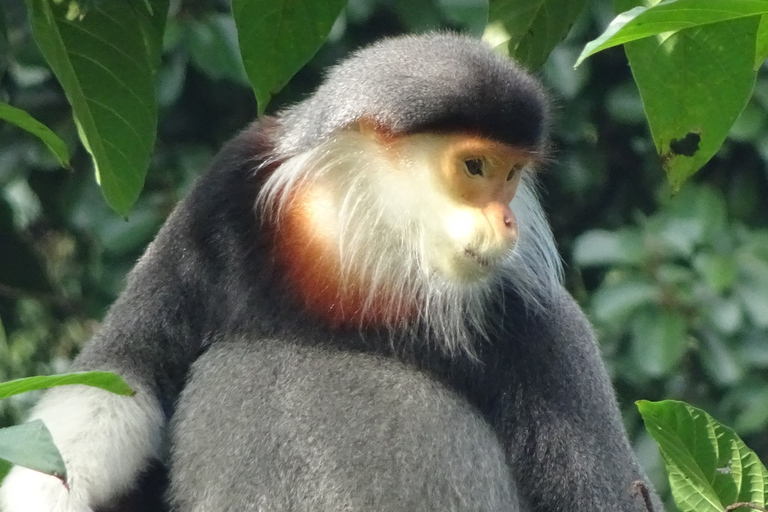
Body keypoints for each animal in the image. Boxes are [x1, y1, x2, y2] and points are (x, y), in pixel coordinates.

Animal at [0, 34, 660, 510]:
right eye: (476, 167)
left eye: (513, 174)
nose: (506, 221)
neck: (361, 254)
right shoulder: (216, 204)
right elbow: (122, 376)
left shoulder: (536, 318)